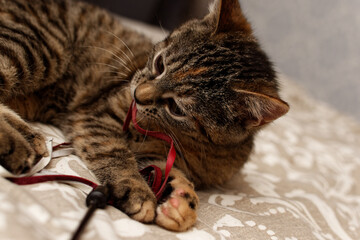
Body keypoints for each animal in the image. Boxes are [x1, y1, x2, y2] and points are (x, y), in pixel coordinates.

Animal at [0, 0, 286, 232]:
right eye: (159, 64)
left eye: (177, 109)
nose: (137, 94)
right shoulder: (97, 116)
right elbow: (116, 155)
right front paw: (136, 191)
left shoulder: (163, 156)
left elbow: (169, 172)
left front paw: (182, 203)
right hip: (42, 46)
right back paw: (16, 144)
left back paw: (30, 138)